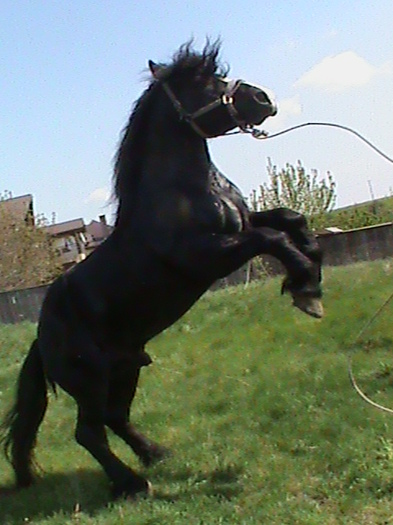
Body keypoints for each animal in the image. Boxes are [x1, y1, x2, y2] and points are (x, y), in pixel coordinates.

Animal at [0, 43, 322, 498]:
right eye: (202, 81)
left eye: (217, 72)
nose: (262, 98)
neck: (182, 191)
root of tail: (41, 338)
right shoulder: (205, 254)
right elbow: (271, 239)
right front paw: (306, 290)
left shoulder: (241, 223)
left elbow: (290, 219)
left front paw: (312, 271)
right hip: (90, 379)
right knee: (89, 432)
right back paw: (132, 483)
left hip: (127, 367)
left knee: (115, 418)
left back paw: (156, 455)